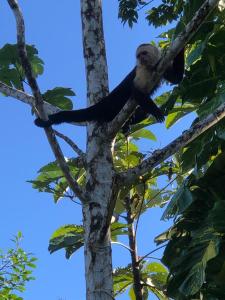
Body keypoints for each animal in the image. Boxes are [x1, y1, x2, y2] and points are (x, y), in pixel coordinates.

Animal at [34, 43, 184, 131]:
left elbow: (176, 79)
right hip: (112, 107)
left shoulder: (162, 64)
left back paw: (127, 125)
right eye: (138, 55)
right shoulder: (140, 70)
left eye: (144, 53)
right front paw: (157, 112)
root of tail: (103, 103)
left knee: (143, 112)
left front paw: (182, 48)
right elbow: (135, 91)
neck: (151, 66)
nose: (141, 58)